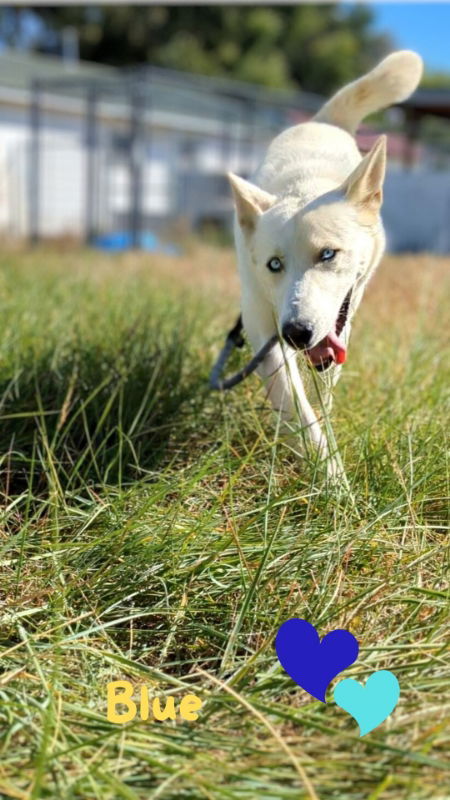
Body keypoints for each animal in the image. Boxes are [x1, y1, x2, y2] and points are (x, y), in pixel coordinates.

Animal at [229, 50, 422, 460]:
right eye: (273, 265)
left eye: (328, 254)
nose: (296, 333)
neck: (305, 184)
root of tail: (322, 122)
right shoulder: (262, 324)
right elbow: (297, 408)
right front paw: (328, 471)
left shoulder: (337, 325)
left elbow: (323, 391)